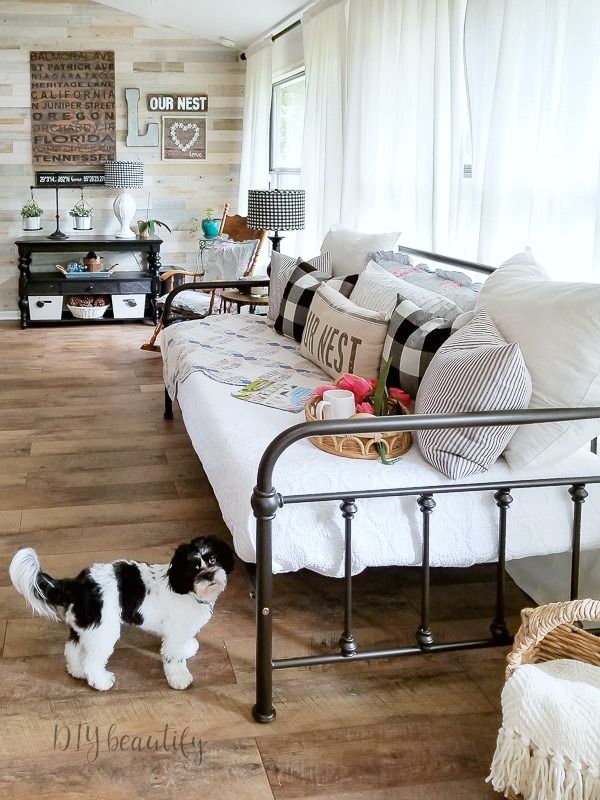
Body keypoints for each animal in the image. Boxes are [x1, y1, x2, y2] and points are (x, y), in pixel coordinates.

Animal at [9, 540, 234, 692]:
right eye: (194, 567)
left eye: (213, 559)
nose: (209, 575)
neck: (187, 589)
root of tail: (78, 584)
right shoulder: (176, 632)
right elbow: (173, 658)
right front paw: (179, 678)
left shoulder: (181, 631)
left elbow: (182, 646)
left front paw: (189, 648)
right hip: (103, 631)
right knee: (92, 662)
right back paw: (101, 682)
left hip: (84, 626)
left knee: (72, 650)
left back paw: (77, 671)